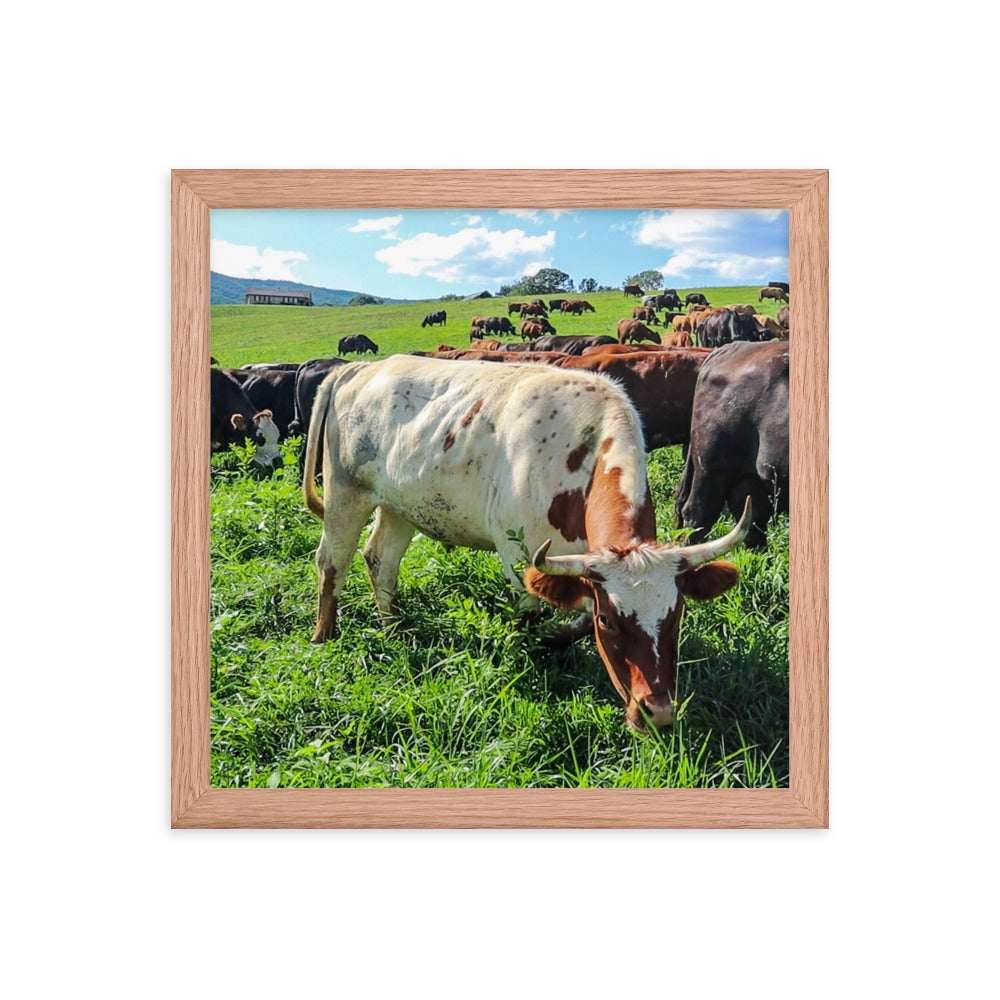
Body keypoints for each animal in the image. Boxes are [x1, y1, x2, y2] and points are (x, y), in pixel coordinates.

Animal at [303, 354, 751, 731]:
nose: (657, 713)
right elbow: (530, 619)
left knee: (381, 560)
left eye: (677, 615)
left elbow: (575, 620)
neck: (581, 453)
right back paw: (324, 636)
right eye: (610, 621)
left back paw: (393, 627)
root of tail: (360, 368)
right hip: (345, 494)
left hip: (399, 506)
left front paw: (558, 637)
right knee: (332, 562)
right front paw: (532, 657)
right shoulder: (519, 556)